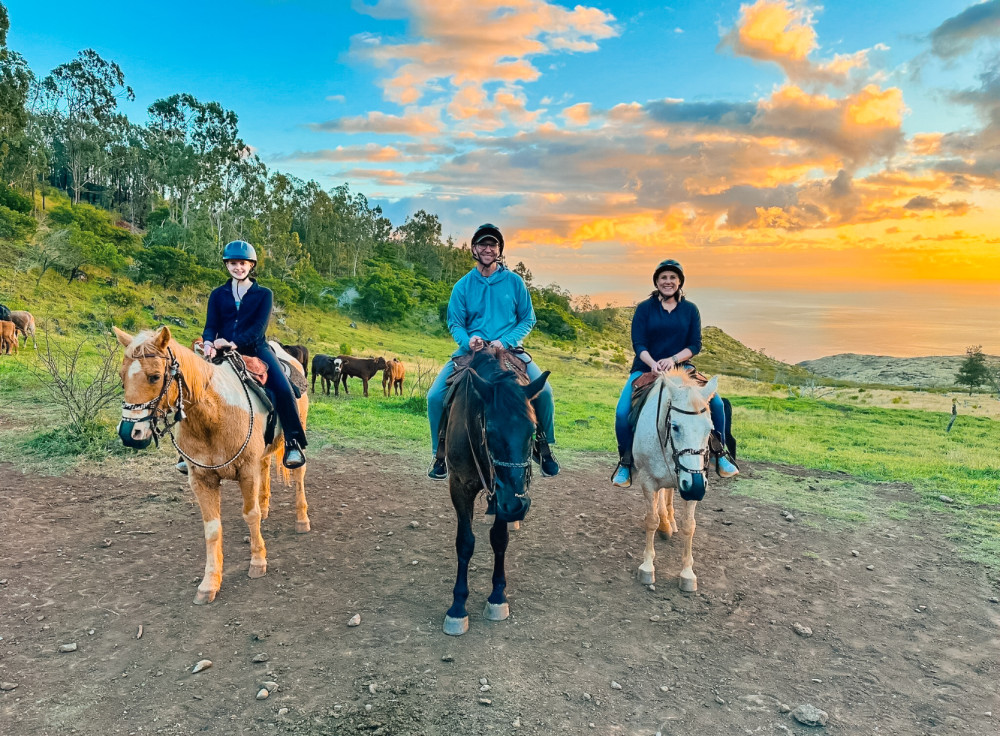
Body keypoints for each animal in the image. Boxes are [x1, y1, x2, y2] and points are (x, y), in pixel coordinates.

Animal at [113, 328, 310, 604]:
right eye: (122, 379)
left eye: (154, 377)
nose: (129, 434)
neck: (213, 414)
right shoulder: (201, 480)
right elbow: (212, 529)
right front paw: (209, 584)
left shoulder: (246, 471)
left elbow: (250, 515)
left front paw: (258, 562)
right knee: (265, 467)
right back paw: (265, 508)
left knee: (299, 474)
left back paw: (302, 520)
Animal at [444, 348, 552, 636]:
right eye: (490, 431)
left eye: (533, 430)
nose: (518, 507)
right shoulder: (459, 487)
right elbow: (465, 542)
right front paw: (457, 608)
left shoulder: (507, 496)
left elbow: (500, 539)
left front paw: (497, 597)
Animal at [632, 368, 720, 592]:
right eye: (675, 426)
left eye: (710, 429)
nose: (695, 489)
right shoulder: (648, 481)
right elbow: (651, 520)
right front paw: (647, 567)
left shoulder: (694, 480)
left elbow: (689, 525)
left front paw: (688, 573)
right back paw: (665, 524)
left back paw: (669, 521)